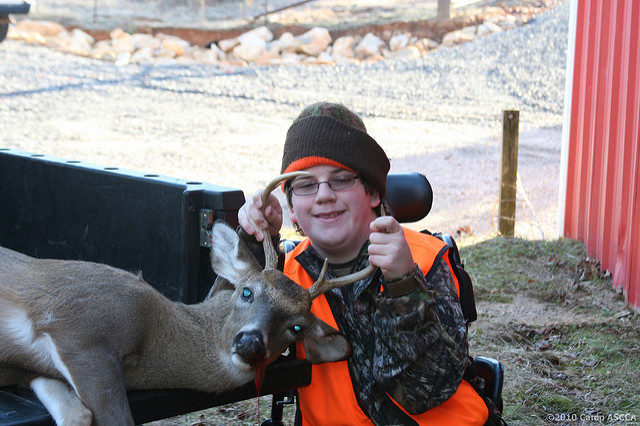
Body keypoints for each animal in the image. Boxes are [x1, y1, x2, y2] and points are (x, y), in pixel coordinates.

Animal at [0, 172, 376, 426]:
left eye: (296, 328)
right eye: (247, 291)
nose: (250, 345)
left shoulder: (36, 368)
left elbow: (76, 414)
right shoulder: (84, 327)